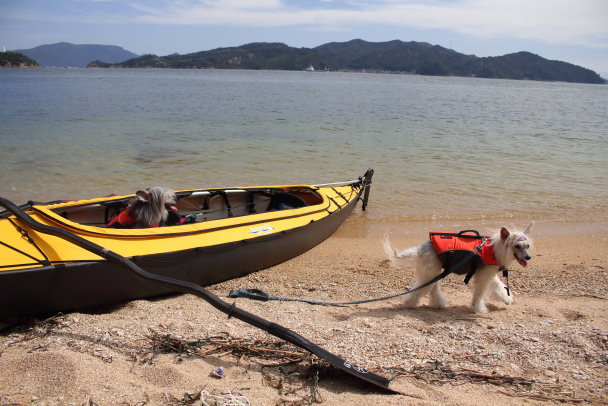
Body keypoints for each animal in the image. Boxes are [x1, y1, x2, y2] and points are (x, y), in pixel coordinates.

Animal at [384, 224, 532, 312]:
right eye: (517, 246)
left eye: (527, 246)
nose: (528, 257)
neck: (495, 248)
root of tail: (421, 248)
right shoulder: (483, 277)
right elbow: (479, 294)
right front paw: (479, 308)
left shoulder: (488, 273)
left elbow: (498, 286)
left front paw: (506, 299)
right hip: (431, 272)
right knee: (421, 289)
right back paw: (410, 303)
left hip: (433, 272)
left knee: (432, 288)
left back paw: (439, 303)